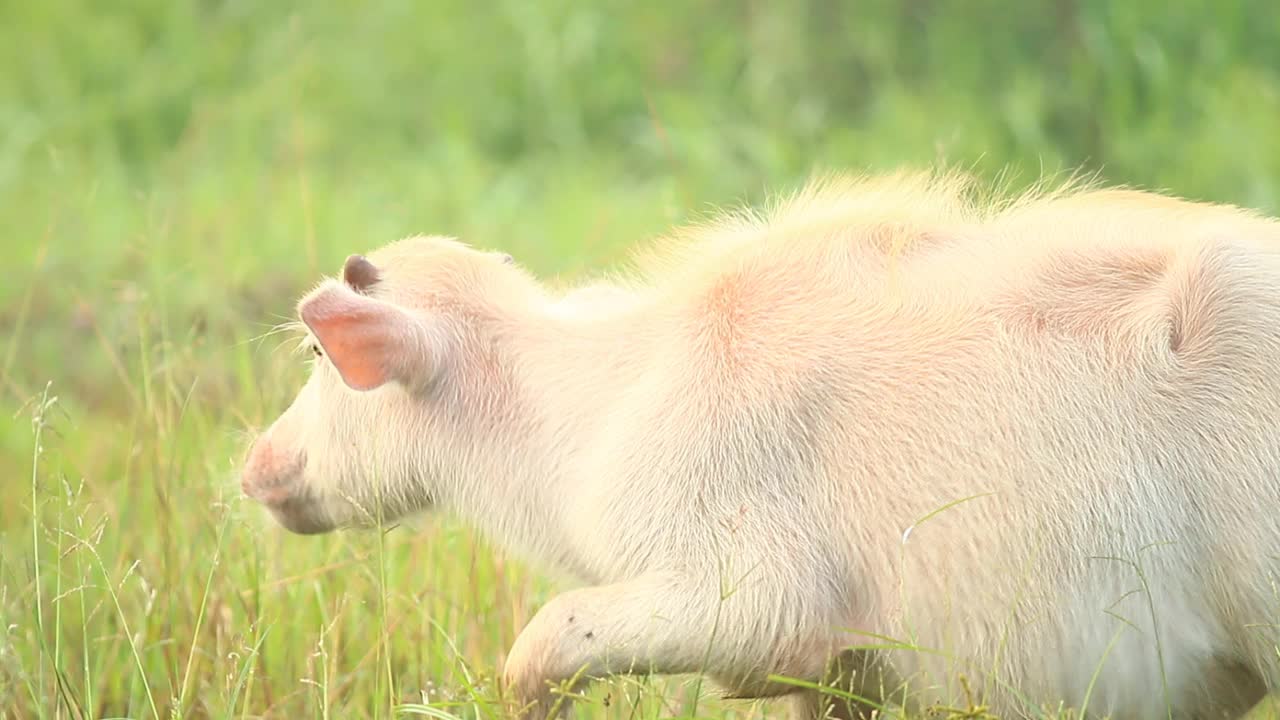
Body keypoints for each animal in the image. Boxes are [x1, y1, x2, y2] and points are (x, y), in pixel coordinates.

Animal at [240, 169, 1280, 717]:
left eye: (321, 358)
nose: (256, 466)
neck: (593, 425)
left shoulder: (755, 597)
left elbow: (544, 640)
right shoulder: (842, 672)